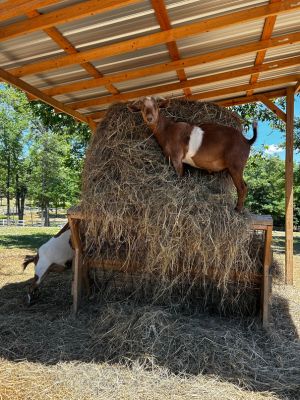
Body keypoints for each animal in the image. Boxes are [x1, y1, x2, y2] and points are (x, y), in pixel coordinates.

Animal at [127, 96, 256, 212]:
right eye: (142, 107)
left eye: (156, 106)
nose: (149, 118)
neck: (167, 129)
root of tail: (247, 141)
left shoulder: (176, 157)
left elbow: (180, 175)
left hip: (236, 165)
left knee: (242, 187)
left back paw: (237, 209)